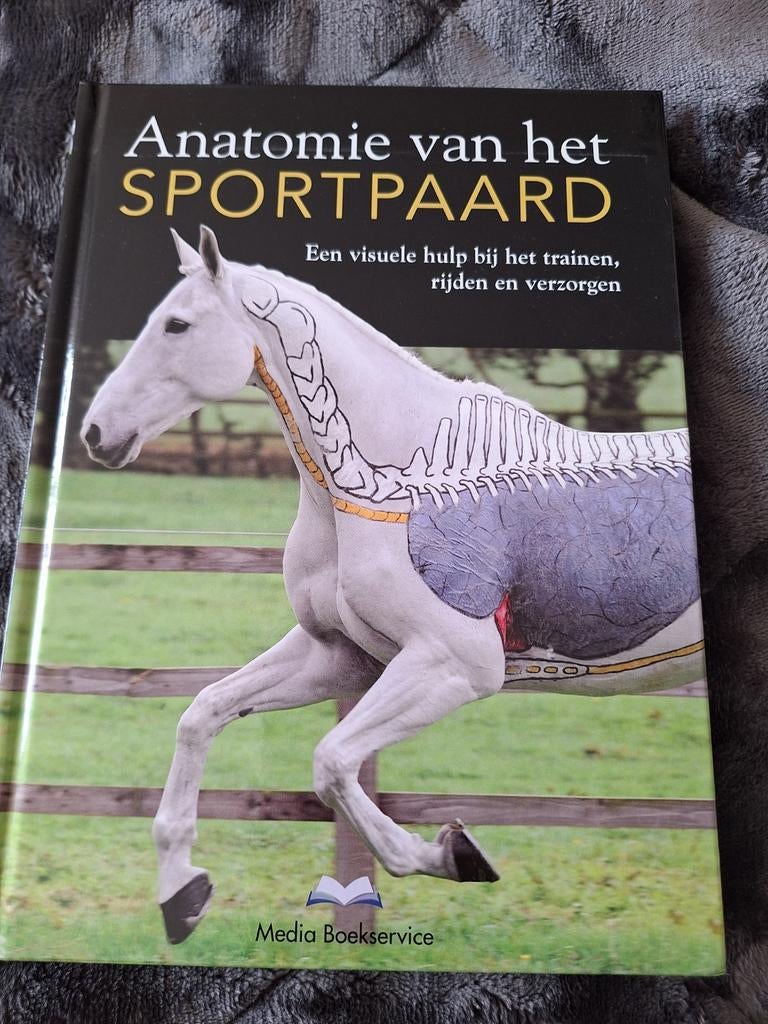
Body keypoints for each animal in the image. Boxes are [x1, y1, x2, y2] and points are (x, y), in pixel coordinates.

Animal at [81, 226, 706, 944]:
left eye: (177, 324)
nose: (96, 433)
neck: (391, 487)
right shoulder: (341, 655)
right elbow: (202, 713)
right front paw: (181, 894)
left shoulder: (454, 665)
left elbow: (331, 762)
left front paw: (455, 854)